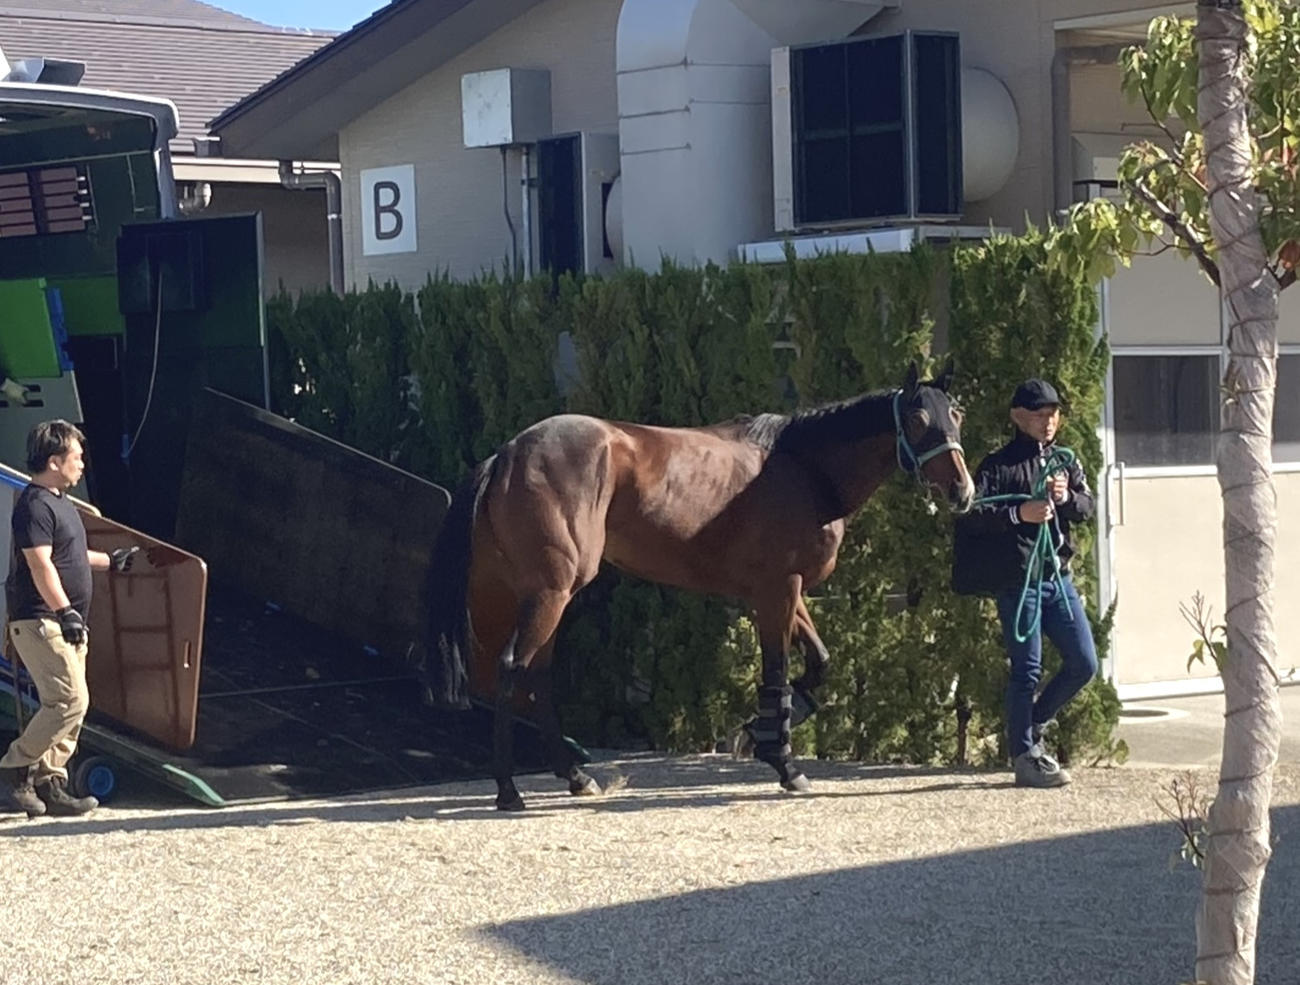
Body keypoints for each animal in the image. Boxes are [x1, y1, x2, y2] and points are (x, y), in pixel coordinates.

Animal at [424, 360, 973, 810]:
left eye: (957, 415)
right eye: (918, 420)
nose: (962, 491)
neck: (802, 469)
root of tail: (507, 454)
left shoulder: (781, 592)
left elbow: (817, 664)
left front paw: (758, 733)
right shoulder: (778, 591)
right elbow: (778, 673)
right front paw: (783, 761)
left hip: (546, 595)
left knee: (537, 676)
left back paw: (576, 776)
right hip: (550, 593)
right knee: (512, 670)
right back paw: (508, 790)